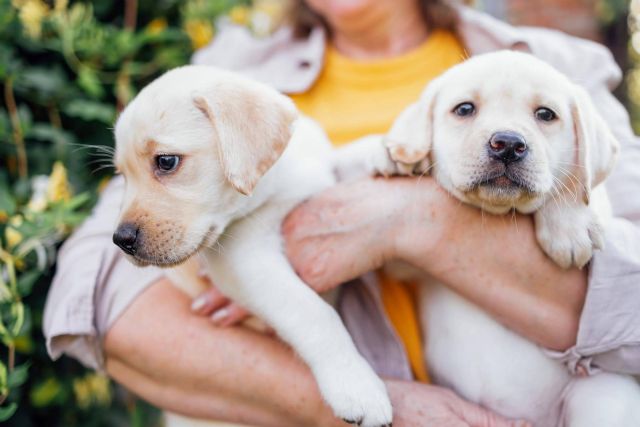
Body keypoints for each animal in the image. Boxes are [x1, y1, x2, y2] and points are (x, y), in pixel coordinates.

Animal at [350, 51, 640, 427]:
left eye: (546, 114)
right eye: (464, 109)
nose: (508, 144)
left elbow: (575, 184)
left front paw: (569, 227)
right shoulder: (402, 260)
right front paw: (393, 152)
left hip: (602, 396)